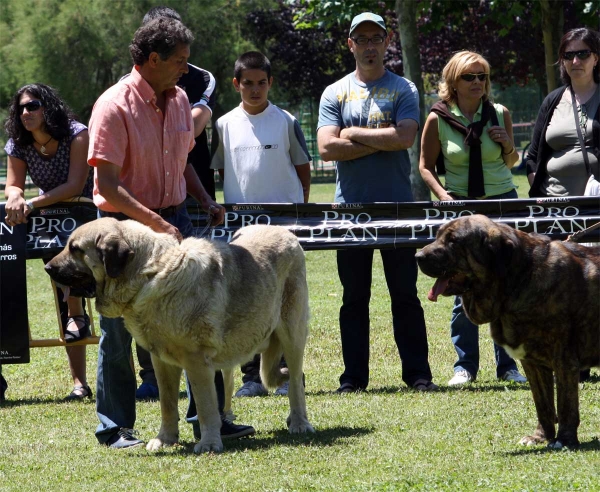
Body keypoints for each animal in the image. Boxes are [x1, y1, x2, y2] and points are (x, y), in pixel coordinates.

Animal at [45, 219, 314, 454]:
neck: (149, 274)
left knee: (295, 382)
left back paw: (299, 423)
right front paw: (165, 439)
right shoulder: (161, 362)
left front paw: (209, 443)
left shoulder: (196, 361)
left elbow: (205, 406)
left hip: (292, 334)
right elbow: (167, 403)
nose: (47, 267)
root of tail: (286, 232)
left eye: (75, 248)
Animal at [418, 215, 600, 450]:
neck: (520, 279)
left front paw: (565, 440)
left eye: (453, 241)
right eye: (438, 236)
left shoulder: (564, 360)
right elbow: (543, 404)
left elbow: (565, 404)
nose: (417, 256)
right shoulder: (533, 363)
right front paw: (540, 436)